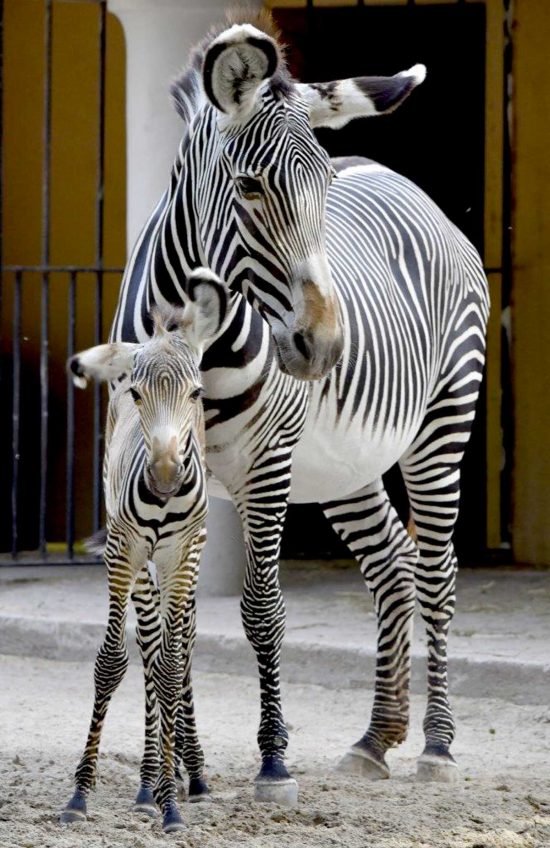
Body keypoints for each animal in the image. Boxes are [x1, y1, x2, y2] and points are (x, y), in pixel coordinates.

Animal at [60, 271, 228, 833]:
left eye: (196, 393)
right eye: (136, 393)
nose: (164, 476)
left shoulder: (183, 553)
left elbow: (173, 665)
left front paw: (171, 803)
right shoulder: (123, 549)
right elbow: (114, 661)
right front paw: (80, 794)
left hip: (185, 559)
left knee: (180, 645)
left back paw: (184, 775)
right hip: (138, 564)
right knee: (151, 641)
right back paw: (148, 781)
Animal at [109, 11, 489, 807]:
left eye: (323, 182)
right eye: (250, 186)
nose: (327, 347)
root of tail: (397, 177)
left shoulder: (267, 467)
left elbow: (260, 607)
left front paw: (272, 761)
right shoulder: (158, 474)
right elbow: (168, 624)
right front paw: (180, 774)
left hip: (442, 423)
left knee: (436, 570)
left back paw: (437, 745)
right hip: (344, 468)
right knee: (393, 563)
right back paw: (376, 739)